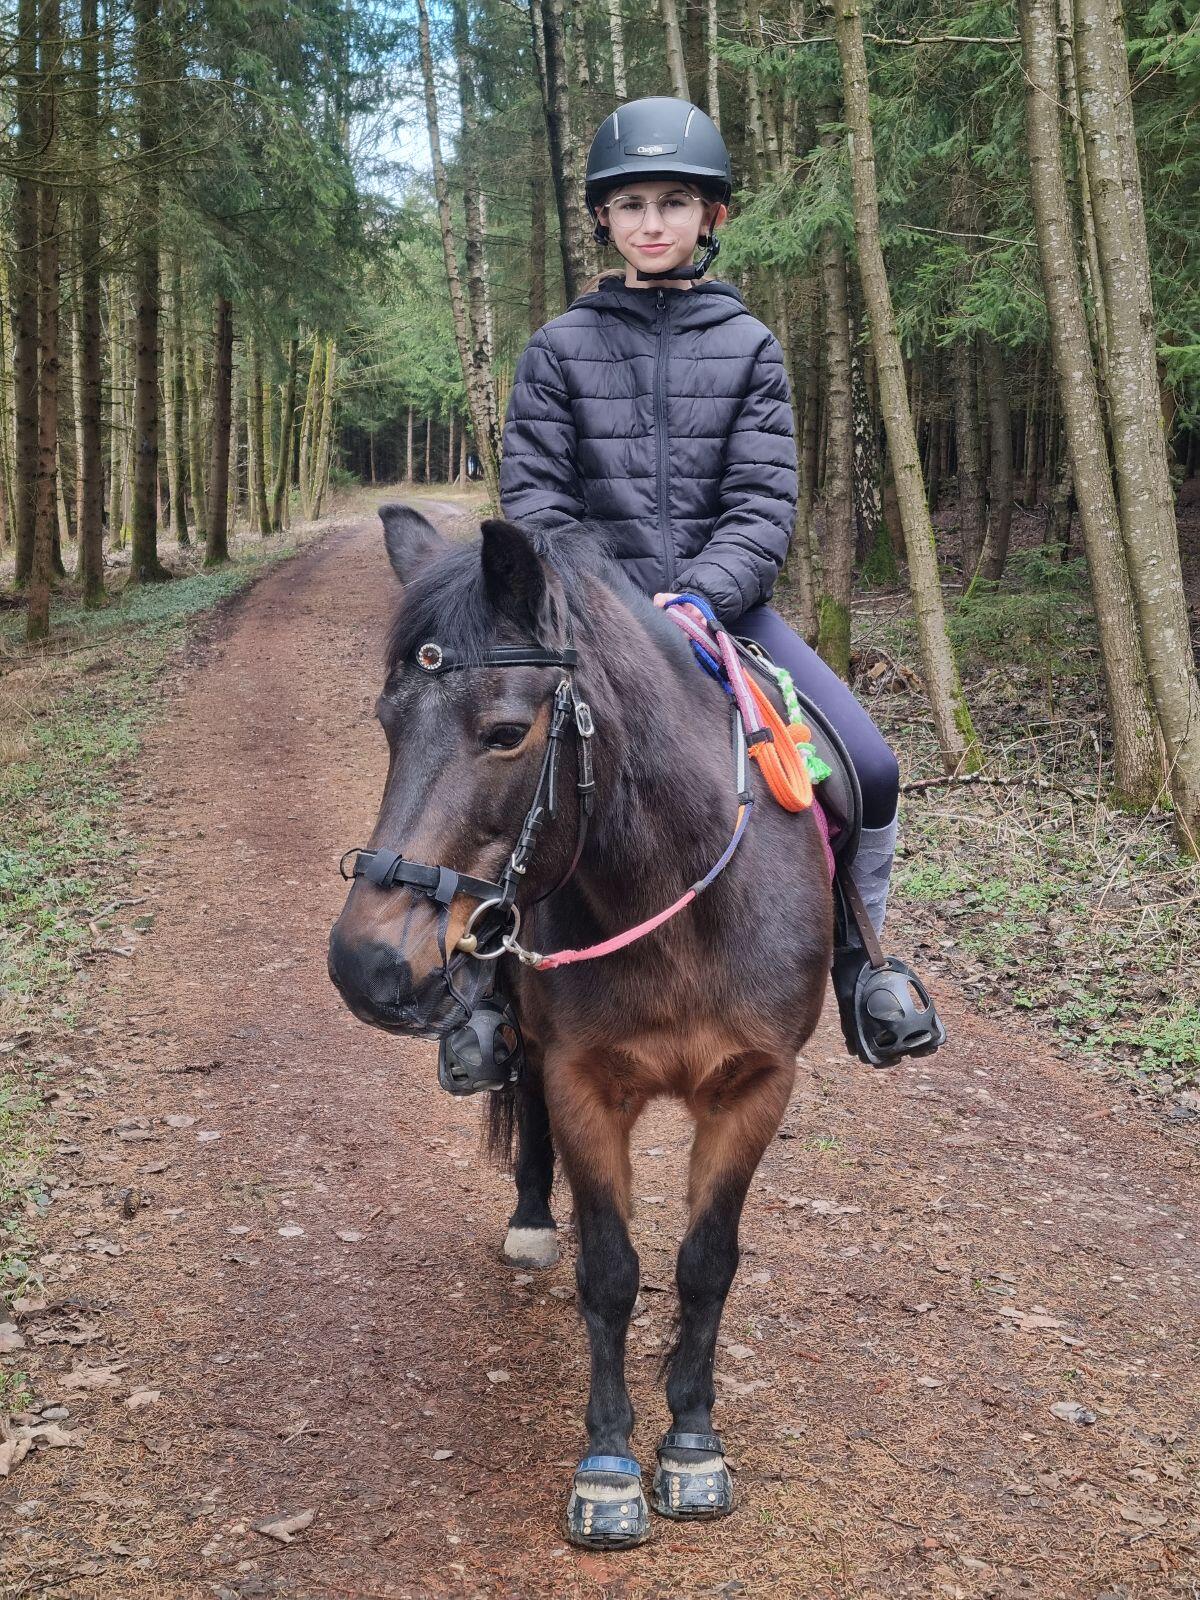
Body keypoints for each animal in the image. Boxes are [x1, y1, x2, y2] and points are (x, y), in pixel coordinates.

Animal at [328, 503, 832, 1549]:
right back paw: (529, 1220)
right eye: (388, 726)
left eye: (506, 732)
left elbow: (705, 1265)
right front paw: (608, 1467)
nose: (364, 965)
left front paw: (692, 1446)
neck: (681, 905)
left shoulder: (757, 1087)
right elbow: (609, 1272)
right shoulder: (583, 1080)